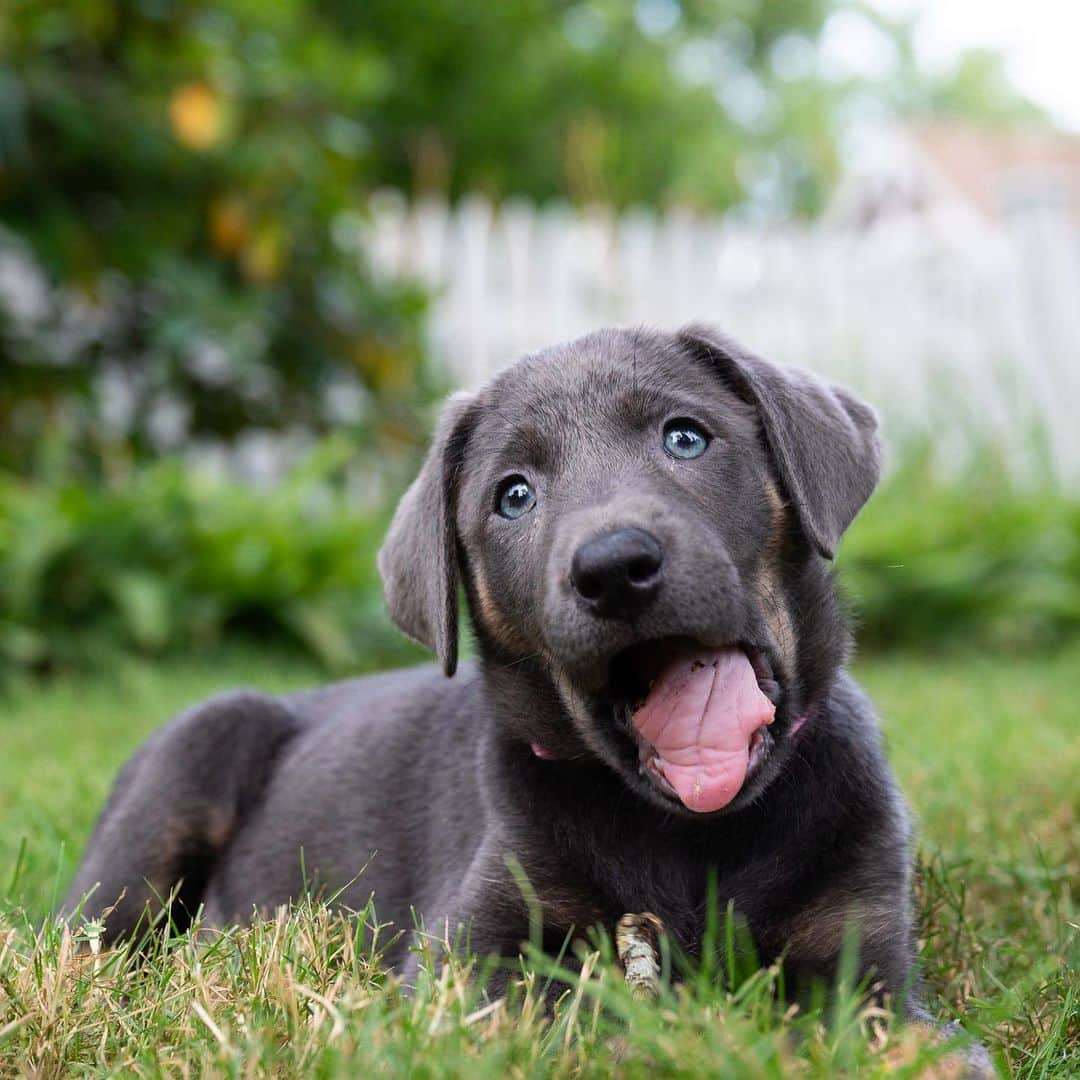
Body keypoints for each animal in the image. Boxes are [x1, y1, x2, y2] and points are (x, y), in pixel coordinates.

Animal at [67, 324, 989, 1067]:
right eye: (514, 495)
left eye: (686, 437)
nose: (613, 567)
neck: (691, 836)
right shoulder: (466, 958)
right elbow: (561, 1018)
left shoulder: (861, 949)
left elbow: (905, 1036)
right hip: (185, 770)